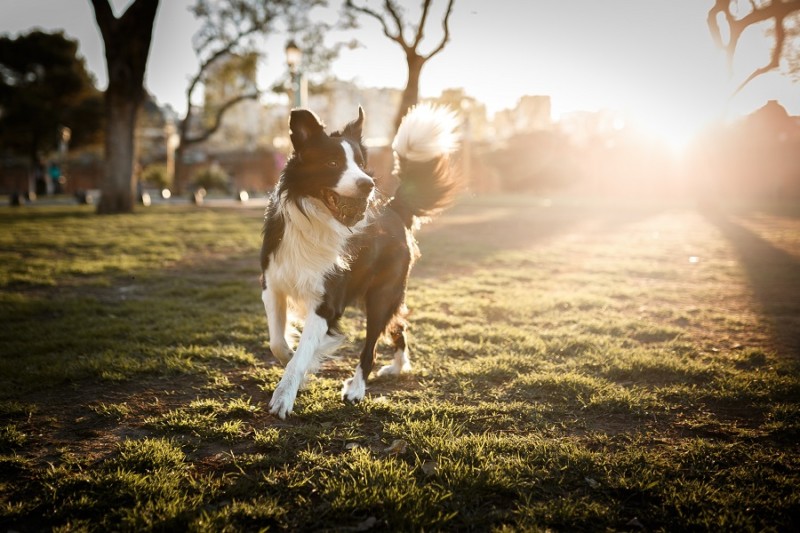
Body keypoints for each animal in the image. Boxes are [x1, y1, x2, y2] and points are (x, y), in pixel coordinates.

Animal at [260, 104, 456, 418]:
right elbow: (278, 343)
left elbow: (301, 354)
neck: (316, 221)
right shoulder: (273, 285)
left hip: (381, 294)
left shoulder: (327, 304)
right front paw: (296, 363)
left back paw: (357, 388)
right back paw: (398, 367)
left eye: (362, 164)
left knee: (371, 346)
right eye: (332, 163)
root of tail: (394, 209)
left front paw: (285, 394)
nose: (368, 184)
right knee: (399, 326)